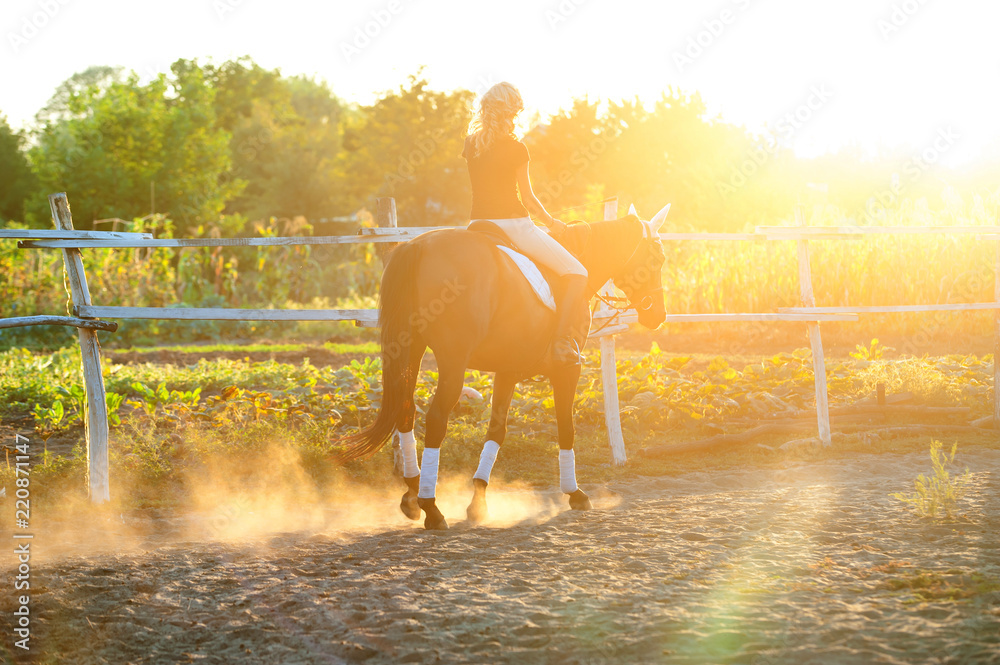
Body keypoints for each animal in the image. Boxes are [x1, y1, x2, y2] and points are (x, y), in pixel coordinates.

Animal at [337, 204, 670, 529]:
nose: (659, 315)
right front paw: (575, 493)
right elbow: (566, 427)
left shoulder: (508, 370)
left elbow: (497, 430)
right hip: (453, 361)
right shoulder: (567, 369)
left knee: (405, 412)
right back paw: (431, 508)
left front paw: (478, 503)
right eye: (658, 258)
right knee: (435, 419)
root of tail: (418, 246)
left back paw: (412, 494)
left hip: (412, 350)